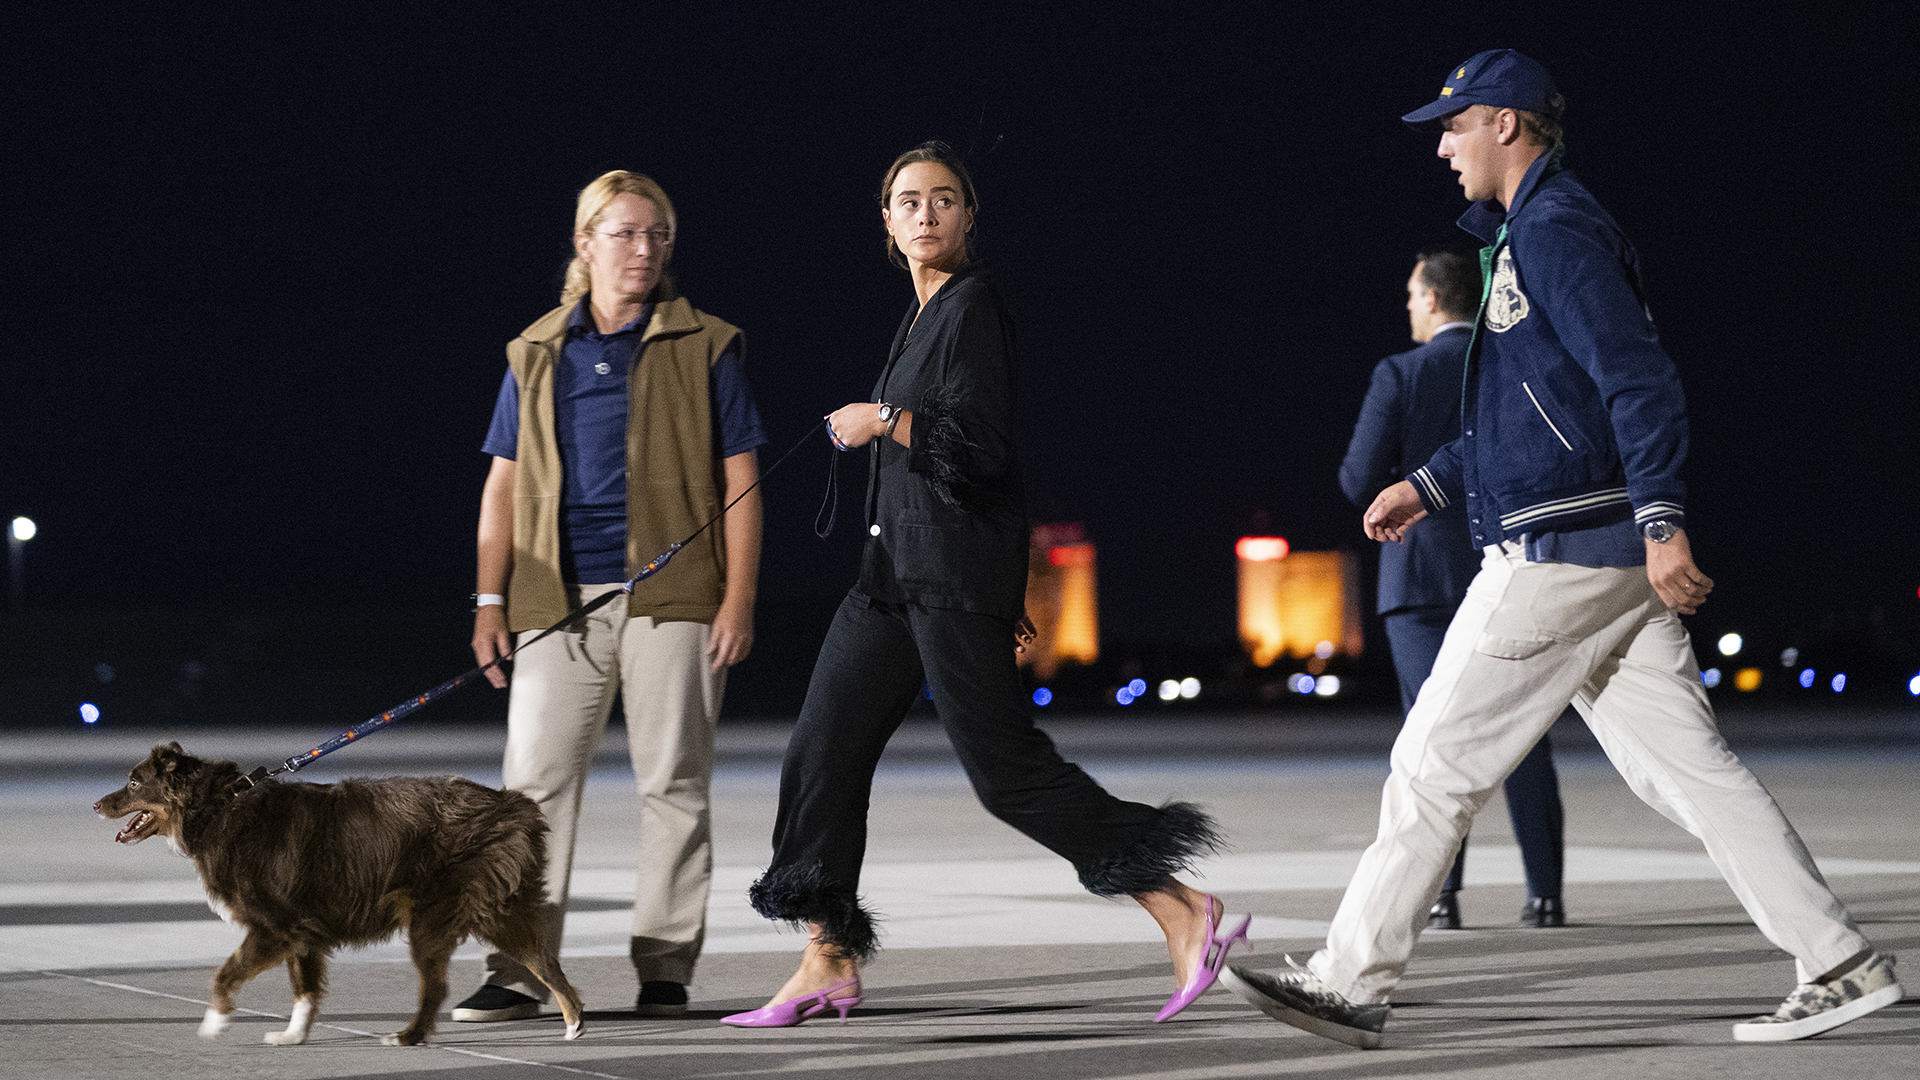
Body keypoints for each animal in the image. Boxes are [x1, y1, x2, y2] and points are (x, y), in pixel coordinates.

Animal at [97, 737, 576, 1045]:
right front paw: (293, 1036)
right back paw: (574, 1023)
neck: (217, 807)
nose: (98, 804)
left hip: (433, 920)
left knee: (437, 988)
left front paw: (215, 1023)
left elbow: (224, 973)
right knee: (545, 963)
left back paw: (409, 1037)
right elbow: (305, 989)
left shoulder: (273, 927)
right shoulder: (301, 932)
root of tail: (513, 804)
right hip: (496, 912)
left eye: (134, 783)